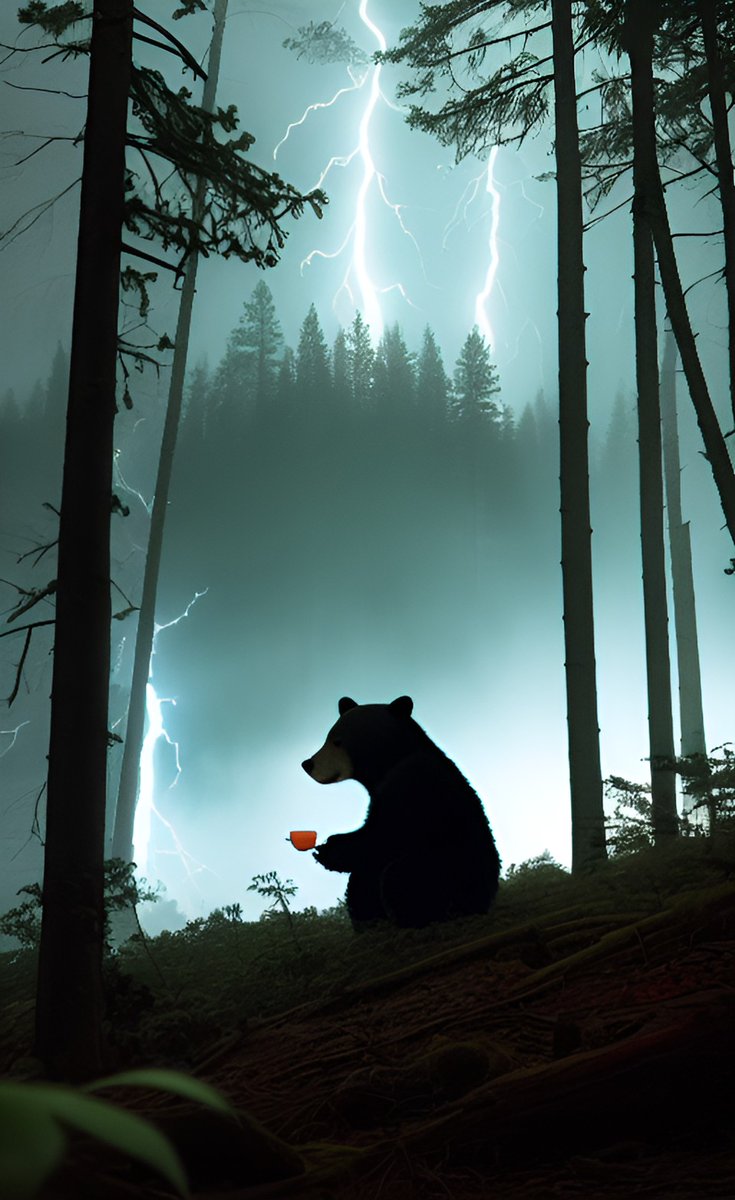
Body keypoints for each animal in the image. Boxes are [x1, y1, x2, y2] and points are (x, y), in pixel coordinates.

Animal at [302, 696, 501, 930]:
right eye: (327, 737)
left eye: (337, 741)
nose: (307, 764)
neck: (392, 759)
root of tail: (483, 905)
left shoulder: (413, 780)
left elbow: (388, 833)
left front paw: (329, 850)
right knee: (362, 883)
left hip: (450, 874)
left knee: (402, 876)